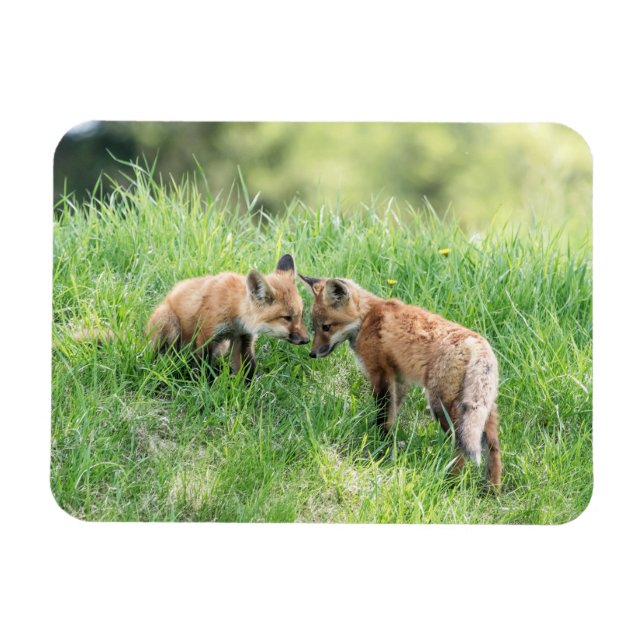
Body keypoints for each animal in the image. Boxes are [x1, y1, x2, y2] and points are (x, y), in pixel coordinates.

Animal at [143, 254, 309, 381]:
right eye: (287, 318)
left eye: (301, 315)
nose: (307, 340)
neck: (234, 310)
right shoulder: (206, 335)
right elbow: (201, 368)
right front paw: (201, 386)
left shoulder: (244, 338)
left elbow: (248, 371)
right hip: (169, 324)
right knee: (164, 355)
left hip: (221, 347)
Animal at [299, 274, 501, 488]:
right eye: (314, 327)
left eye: (326, 326)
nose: (312, 354)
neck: (366, 318)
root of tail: (478, 344)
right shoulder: (399, 380)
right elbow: (391, 415)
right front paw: (389, 444)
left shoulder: (381, 373)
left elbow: (383, 416)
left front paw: (380, 446)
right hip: (483, 410)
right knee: (493, 448)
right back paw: (492, 489)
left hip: (441, 405)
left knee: (460, 444)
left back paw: (450, 482)